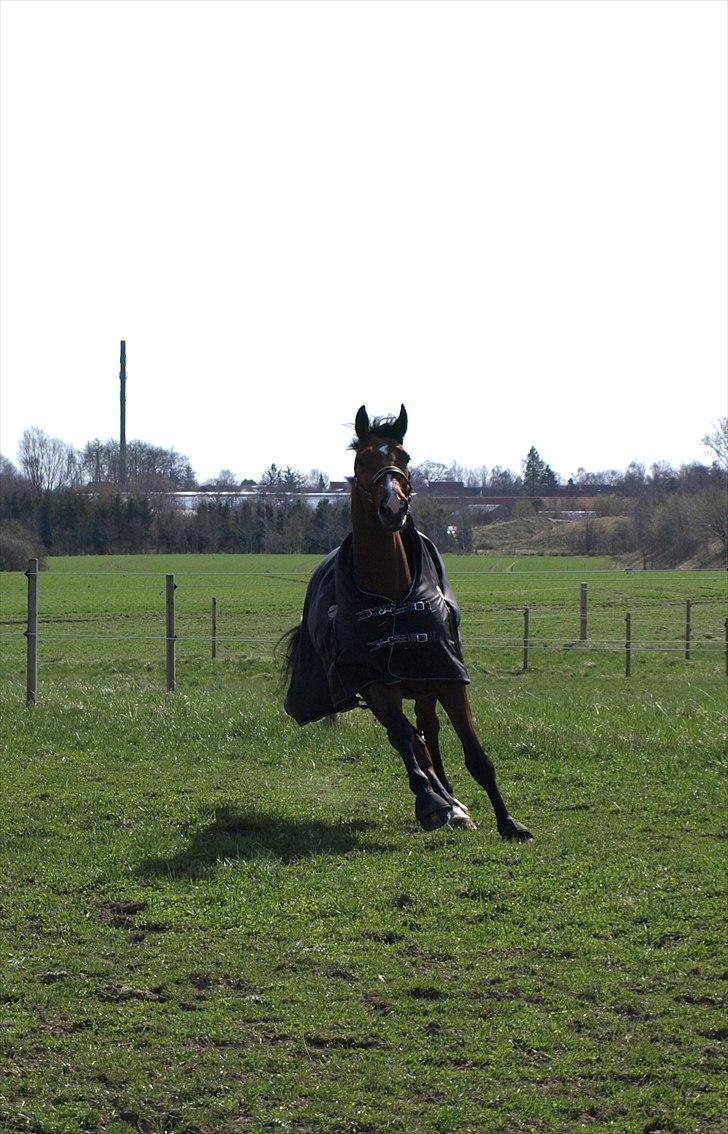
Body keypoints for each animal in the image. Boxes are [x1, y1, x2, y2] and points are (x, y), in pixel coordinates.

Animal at [281, 403, 530, 839]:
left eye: (405, 457)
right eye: (363, 460)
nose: (393, 508)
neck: (392, 594)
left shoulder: (447, 676)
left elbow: (474, 752)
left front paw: (508, 822)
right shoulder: (376, 682)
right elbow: (402, 738)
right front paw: (429, 802)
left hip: (427, 686)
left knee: (428, 731)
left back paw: (454, 802)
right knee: (414, 739)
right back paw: (443, 801)